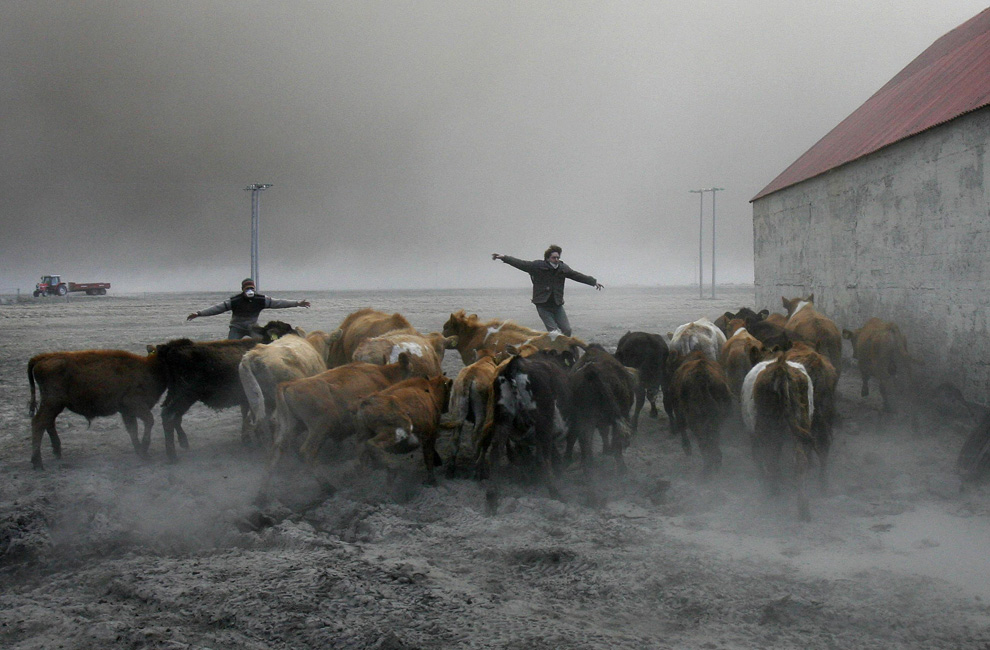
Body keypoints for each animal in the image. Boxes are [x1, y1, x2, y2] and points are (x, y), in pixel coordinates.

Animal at [27, 346, 168, 468]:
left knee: (48, 422)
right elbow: (148, 421)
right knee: (38, 423)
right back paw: (37, 462)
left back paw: (56, 452)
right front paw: (144, 452)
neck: (150, 367)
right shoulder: (134, 405)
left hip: (55, 405)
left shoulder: (127, 412)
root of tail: (42, 358)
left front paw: (139, 450)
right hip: (53, 403)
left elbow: (133, 429)